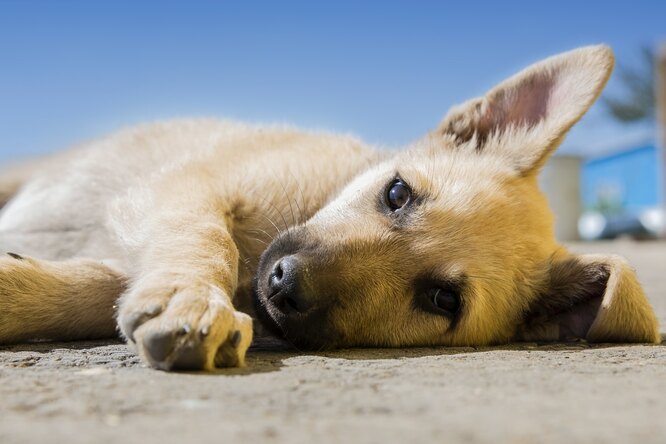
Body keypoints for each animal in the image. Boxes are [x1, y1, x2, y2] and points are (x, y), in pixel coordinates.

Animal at [0, 46, 656, 372]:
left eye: (443, 300)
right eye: (397, 194)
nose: (284, 284)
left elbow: (93, 288)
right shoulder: (185, 186)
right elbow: (204, 238)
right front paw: (194, 300)